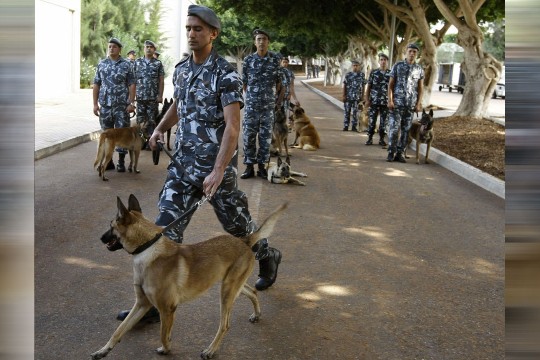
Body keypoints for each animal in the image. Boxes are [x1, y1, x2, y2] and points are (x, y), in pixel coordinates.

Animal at [90, 195, 288, 358]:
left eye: (111, 226)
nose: (100, 238)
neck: (147, 247)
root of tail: (244, 241)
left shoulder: (167, 309)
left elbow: (162, 334)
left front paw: (166, 349)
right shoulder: (142, 304)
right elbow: (119, 330)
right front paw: (103, 350)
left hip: (227, 292)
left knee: (225, 325)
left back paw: (211, 350)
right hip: (231, 286)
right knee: (253, 291)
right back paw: (256, 314)